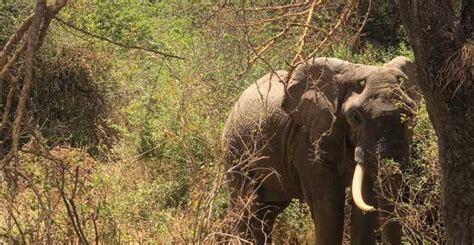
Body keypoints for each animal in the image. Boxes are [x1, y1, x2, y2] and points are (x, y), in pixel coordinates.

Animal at [222, 56, 418, 244]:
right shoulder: (307, 140)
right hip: (234, 149)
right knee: (247, 208)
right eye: (355, 117)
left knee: (267, 211)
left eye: (411, 114)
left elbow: (364, 200)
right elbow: (328, 205)